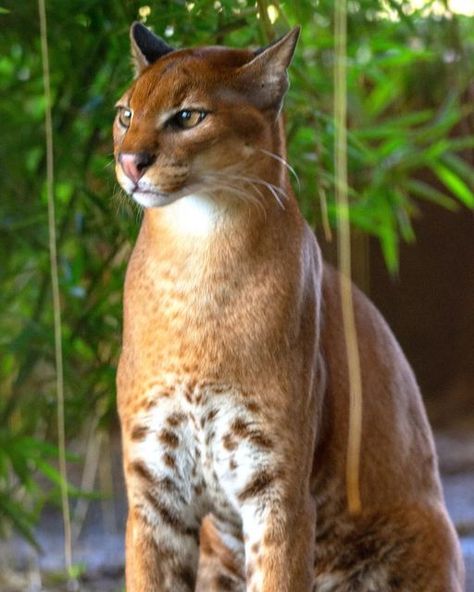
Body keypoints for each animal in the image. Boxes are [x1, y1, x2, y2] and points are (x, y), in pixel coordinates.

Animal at [114, 22, 462, 592]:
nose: (128, 162)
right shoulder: (155, 491)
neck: (196, 254)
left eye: (188, 117)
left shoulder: (276, 491)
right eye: (126, 115)